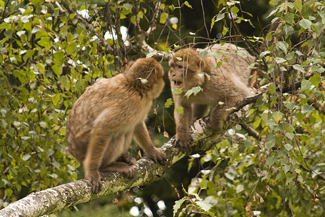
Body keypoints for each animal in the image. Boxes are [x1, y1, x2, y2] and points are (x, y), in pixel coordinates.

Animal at [66, 57, 167, 193]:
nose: (164, 82)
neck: (135, 86)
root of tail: (73, 151)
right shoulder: (130, 103)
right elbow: (102, 128)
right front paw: (92, 172)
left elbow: (137, 124)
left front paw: (152, 150)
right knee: (118, 134)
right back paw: (107, 166)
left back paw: (122, 158)